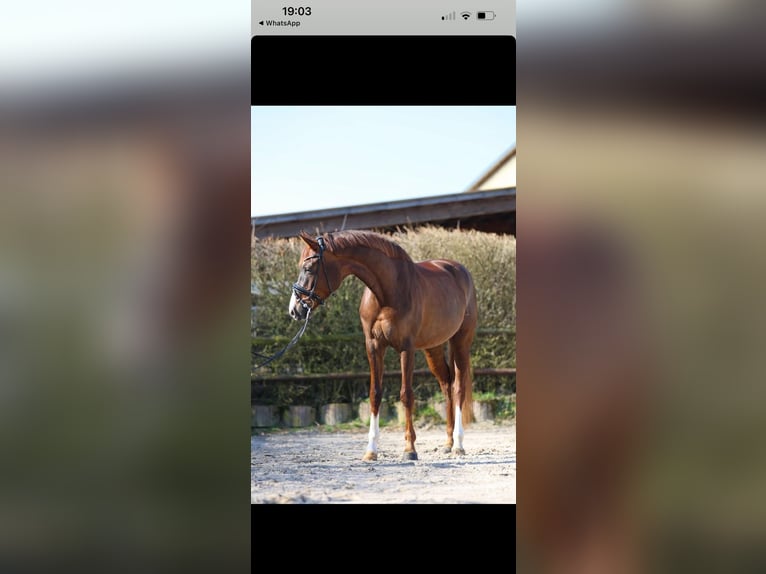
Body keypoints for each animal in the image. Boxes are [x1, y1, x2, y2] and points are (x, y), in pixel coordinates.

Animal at [288, 229, 477, 461]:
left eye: (308, 268)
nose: (295, 309)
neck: (387, 292)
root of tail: (460, 270)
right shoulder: (373, 346)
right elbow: (375, 394)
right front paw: (371, 450)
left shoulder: (406, 348)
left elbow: (406, 395)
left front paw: (409, 449)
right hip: (433, 347)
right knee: (446, 383)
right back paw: (448, 443)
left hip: (461, 341)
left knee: (458, 387)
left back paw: (458, 444)